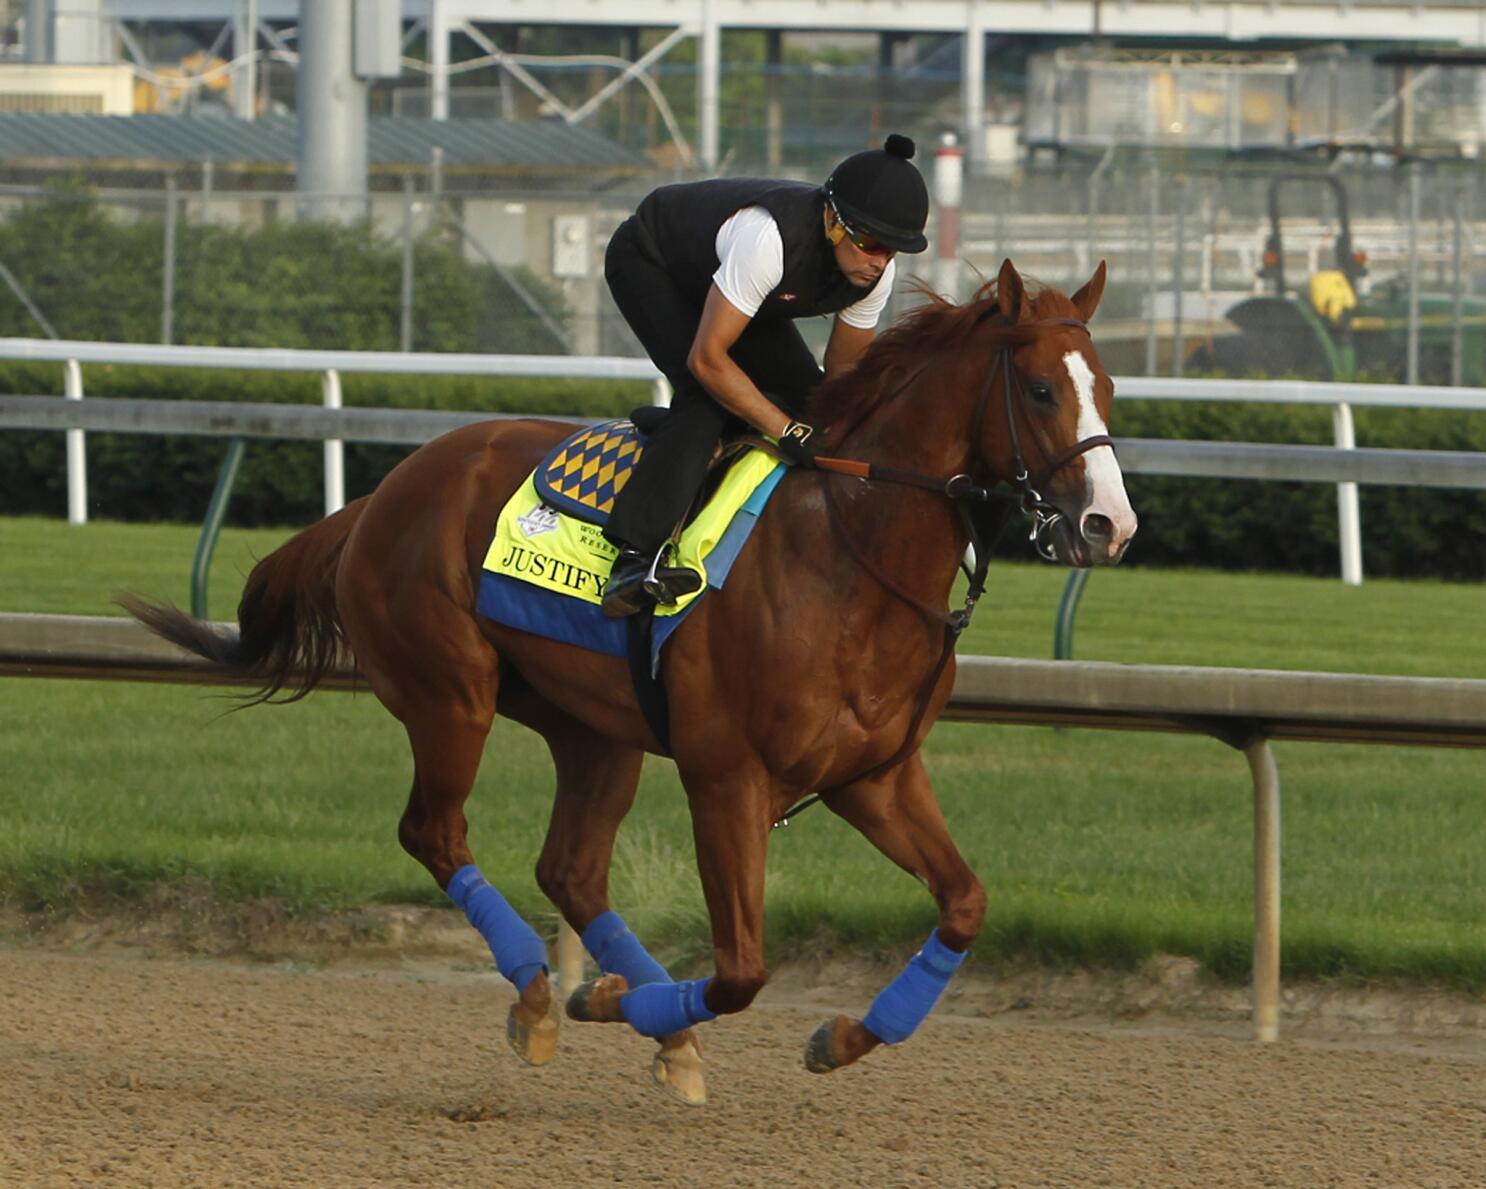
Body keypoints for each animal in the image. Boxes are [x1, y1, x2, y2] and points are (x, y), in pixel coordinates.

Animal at [124, 257, 1135, 1105]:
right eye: (1041, 388)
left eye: (1110, 387)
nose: (1108, 525)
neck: (847, 553)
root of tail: (382, 494)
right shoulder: (725, 776)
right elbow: (740, 970)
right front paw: (606, 1006)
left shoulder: (874, 776)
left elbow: (964, 904)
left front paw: (839, 1036)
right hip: (451, 696)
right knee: (436, 832)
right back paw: (543, 995)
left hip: (592, 728)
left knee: (570, 868)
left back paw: (651, 1026)